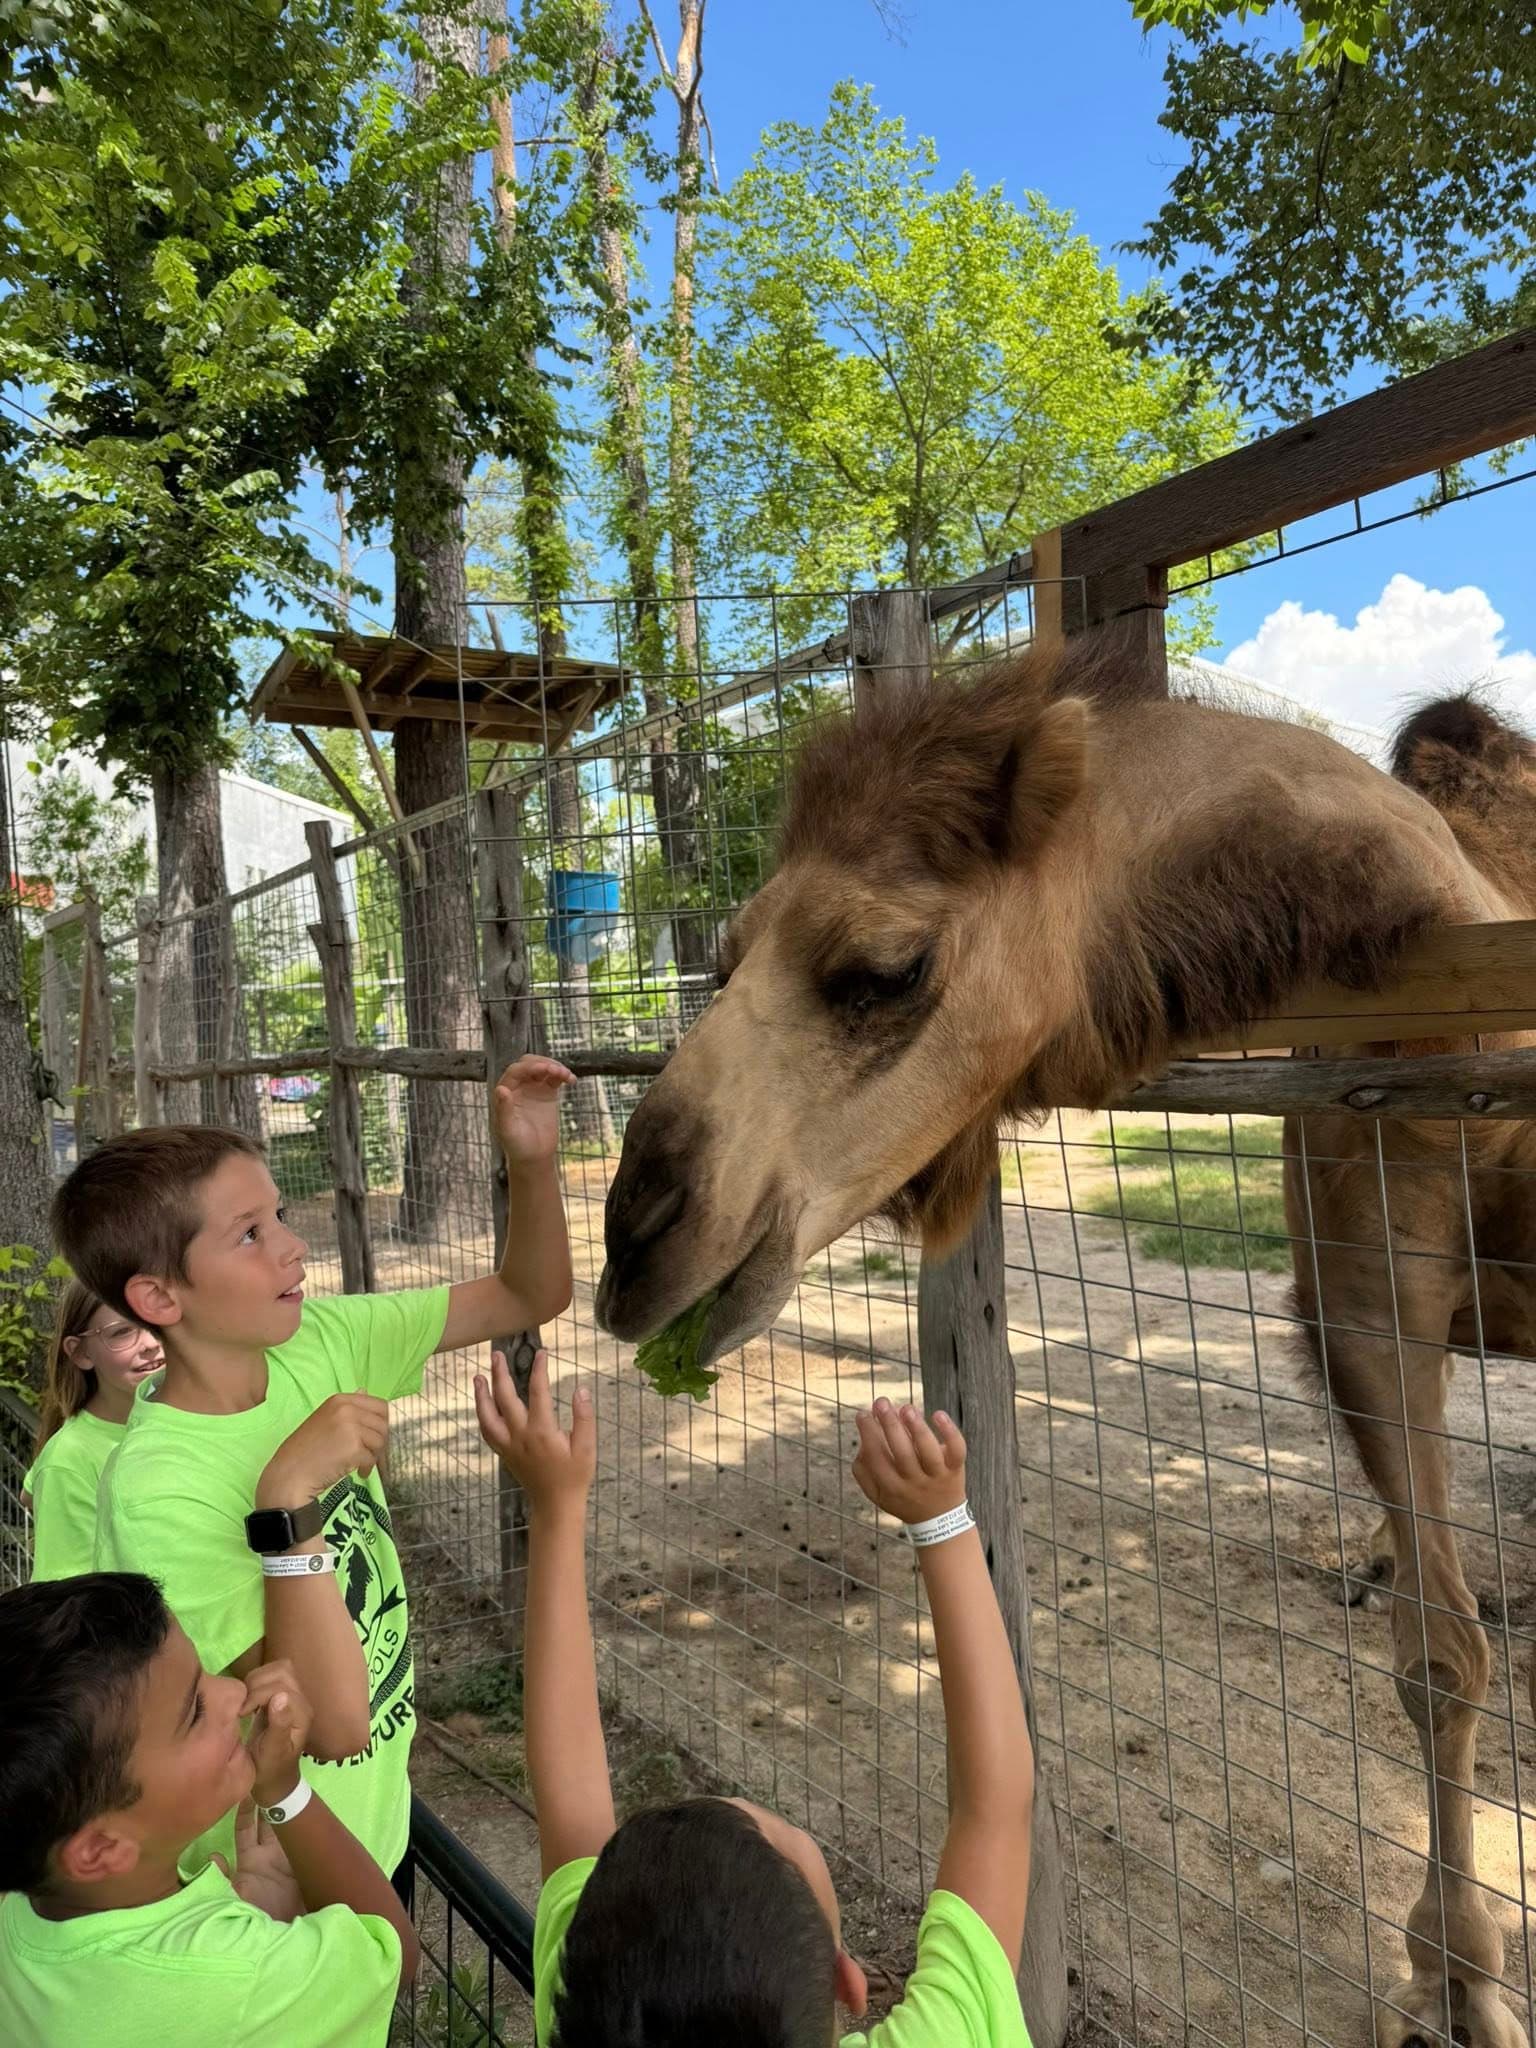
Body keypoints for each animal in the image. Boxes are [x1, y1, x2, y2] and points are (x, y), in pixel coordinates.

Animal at [596, 636, 1536, 2047]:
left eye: (884, 968)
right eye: (721, 958)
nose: (634, 1238)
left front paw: (1472, 1977)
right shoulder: (1371, 1271)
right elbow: (1439, 1650)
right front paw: (1456, 1970)